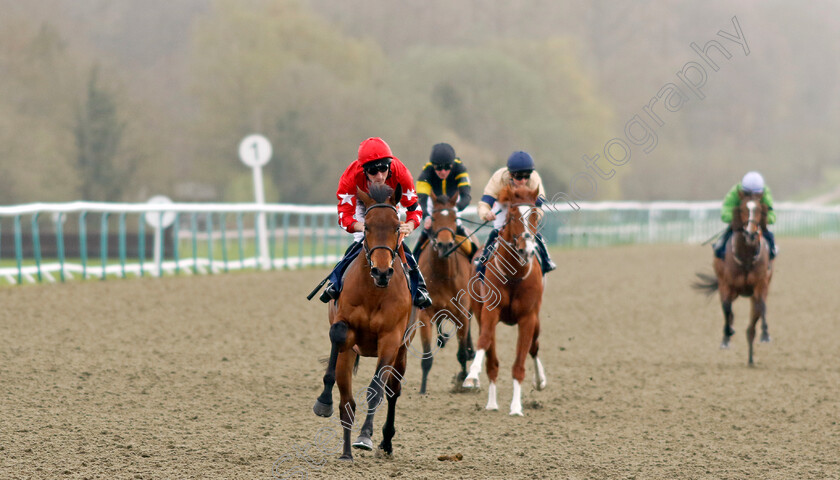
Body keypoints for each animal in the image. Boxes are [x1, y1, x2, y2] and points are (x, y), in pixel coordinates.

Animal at [312, 182, 414, 460]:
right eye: (366, 227)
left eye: (396, 226)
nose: (381, 271)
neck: (374, 291)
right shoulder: (345, 329)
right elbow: (337, 334)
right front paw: (323, 401)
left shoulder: (391, 339)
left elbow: (375, 390)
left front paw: (366, 436)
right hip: (348, 356)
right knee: (346, 401)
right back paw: (346, 452)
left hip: (402, 353)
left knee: (392, 392)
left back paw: (385, 442)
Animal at [416, 191, 476, 394]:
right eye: (433, 218)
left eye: (454, 218)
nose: (444, 245)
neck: (443, 274)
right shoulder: (425, 313)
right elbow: (427, 357)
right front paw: (422, 389)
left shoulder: (462, 313)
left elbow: (461, 353)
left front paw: (463, 379)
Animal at [462, 184, 548, 416]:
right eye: (513, 214)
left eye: (534, 214)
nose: (527, 248)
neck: (513, 275)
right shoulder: (490, 312)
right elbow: (484, 341)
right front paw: (472, 375)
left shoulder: (528, 318)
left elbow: (520, 362)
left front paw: (516, 407)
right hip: (481, 313)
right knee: (492, 359)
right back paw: (491, 403)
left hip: (537, 320)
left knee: (535, 346)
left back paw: (540, 381)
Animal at [696, 189, 776, 366]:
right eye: (742, 208)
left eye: (760, 210)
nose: (751, 233)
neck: (746, 257)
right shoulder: (726, 285)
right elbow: (727, 309)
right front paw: (727, 334)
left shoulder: (760, 285)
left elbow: (760, 309)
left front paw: (762, 335)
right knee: (729, 311)